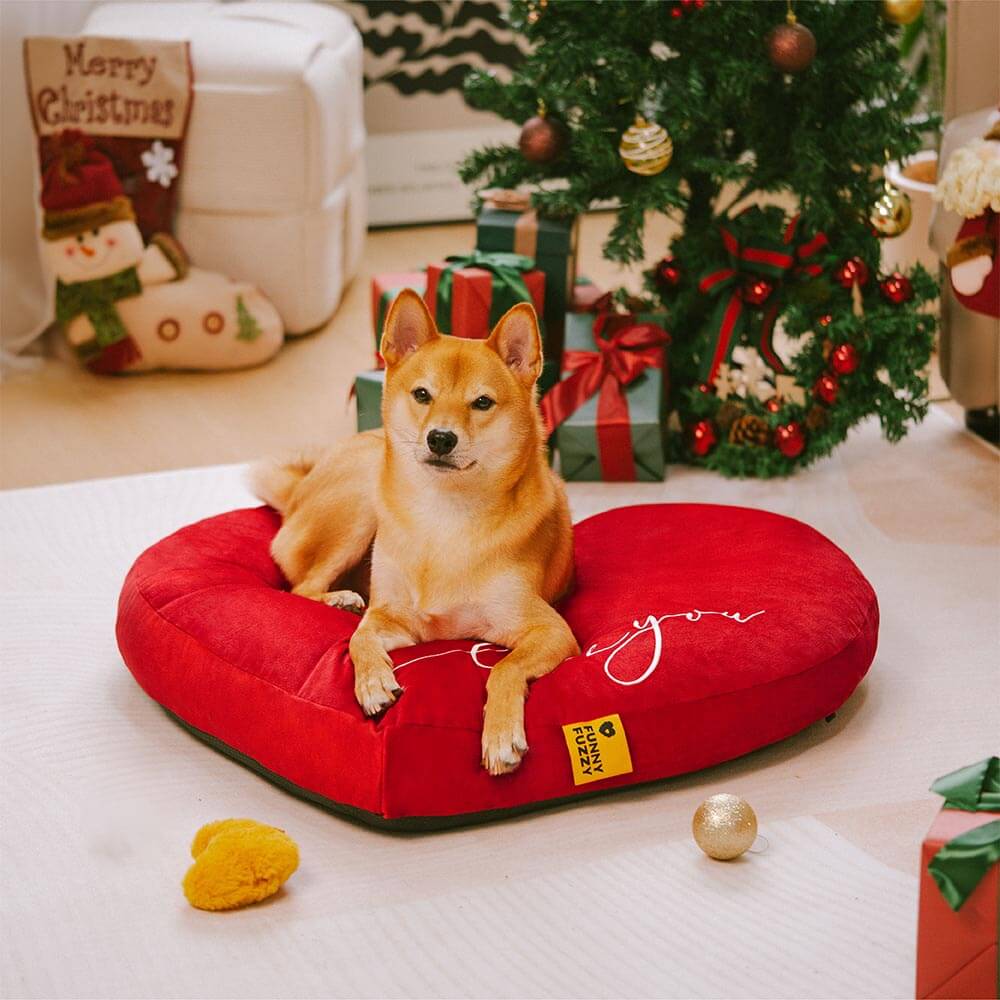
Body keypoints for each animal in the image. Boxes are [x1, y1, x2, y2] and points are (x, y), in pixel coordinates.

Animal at [252, 290, 580, 772]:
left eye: (482, 403)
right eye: (422, 394)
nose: (440, 438)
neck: (442, 518)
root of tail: (300, 487)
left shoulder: (550, 631)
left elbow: (506, 668)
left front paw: (501, 734)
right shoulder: (393, 617)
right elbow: (360, 638)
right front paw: (372, 680)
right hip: (362, 498)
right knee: (302, 586)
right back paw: (341, 599)